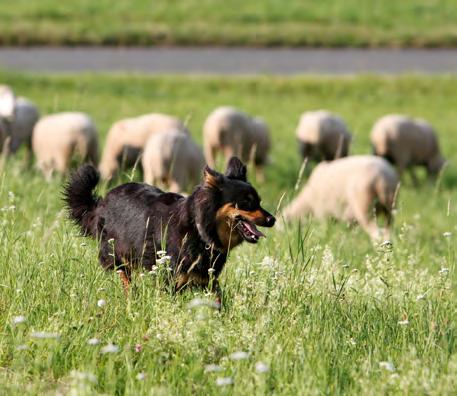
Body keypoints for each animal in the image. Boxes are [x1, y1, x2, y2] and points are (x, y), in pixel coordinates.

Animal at [63, 157, 274, 296]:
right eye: (246, 203)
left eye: (259, 202)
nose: (272, 220)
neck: (199, 230)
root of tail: (101, 203)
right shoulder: (171, 280)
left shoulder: (208, 280)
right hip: (116, 252)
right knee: (124, 276)